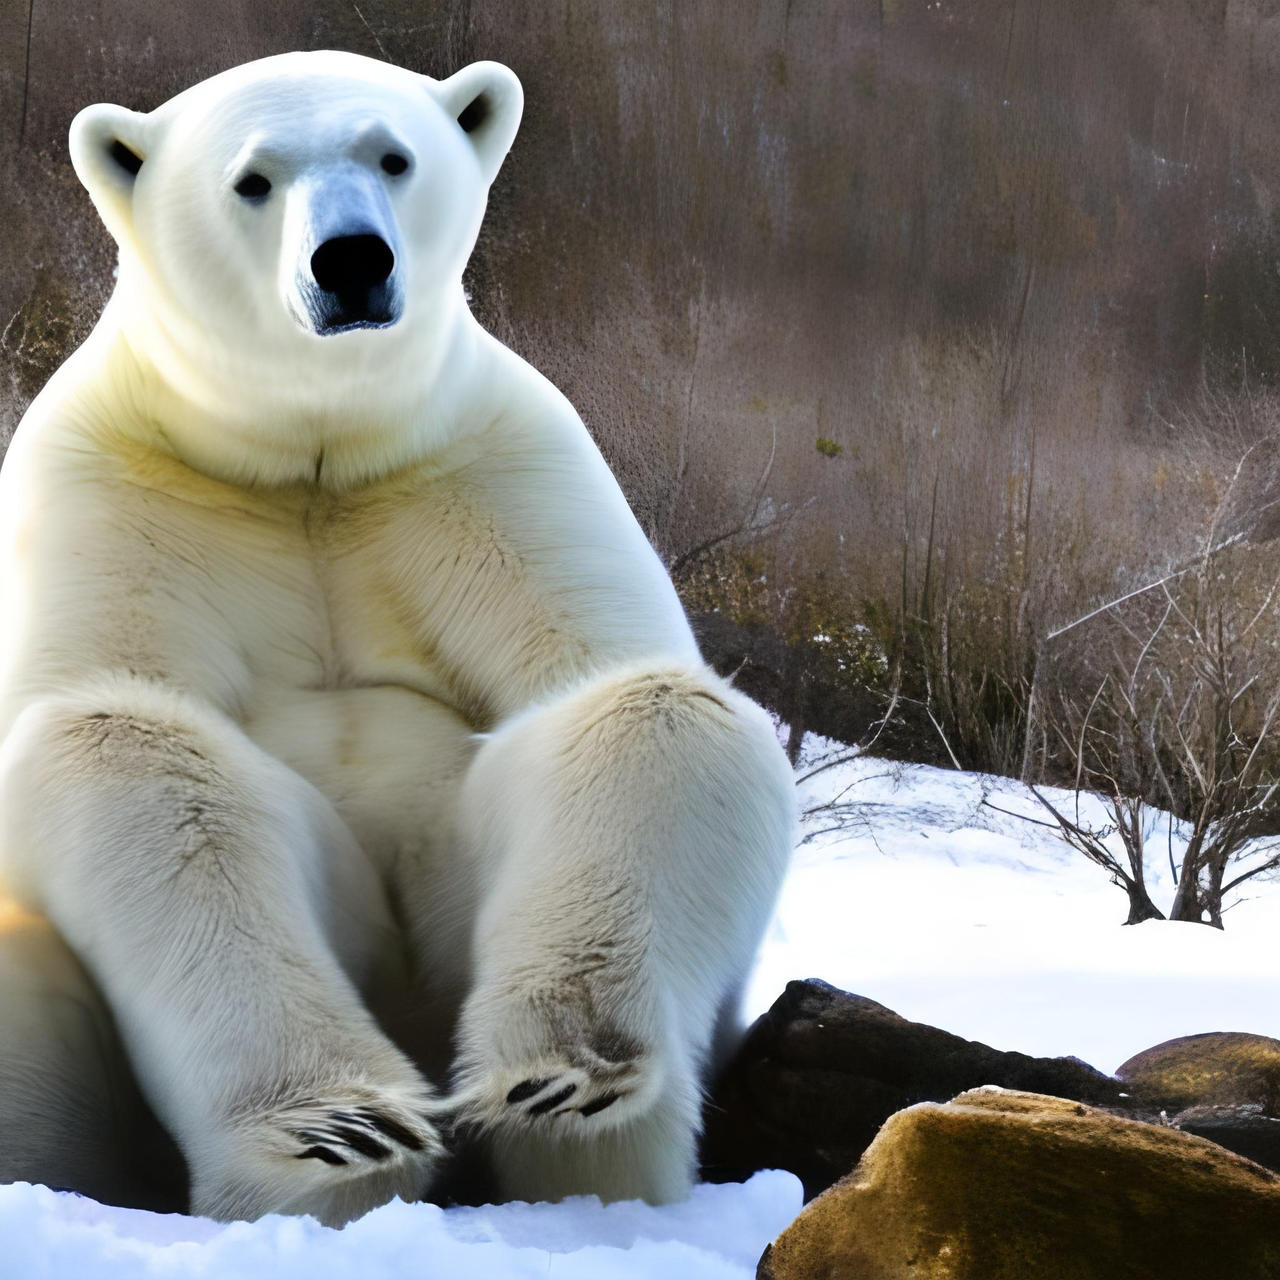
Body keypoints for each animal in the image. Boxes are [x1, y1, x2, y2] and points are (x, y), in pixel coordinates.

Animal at [0, 50, 795, 1226]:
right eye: (253, 179)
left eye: (393, 155)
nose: (351, 258)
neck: (313, 451)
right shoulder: (115, 494)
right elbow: (113, 722)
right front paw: (332, 1131)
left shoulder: (492, 471)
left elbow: (611, 688)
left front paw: (555, 1075)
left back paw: (576, 1119)